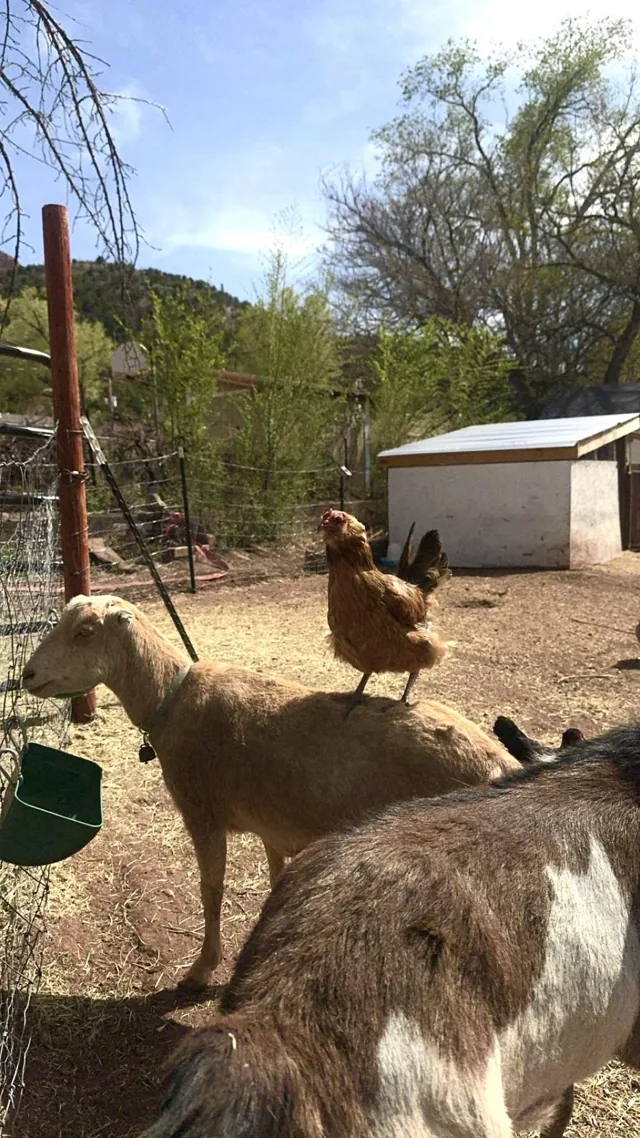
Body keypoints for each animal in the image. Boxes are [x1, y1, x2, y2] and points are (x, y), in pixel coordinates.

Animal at [21, 594, 519, 989]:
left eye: (84, 632)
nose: (27, 675)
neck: (170, 701)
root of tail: (500, 761)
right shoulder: (271, 823)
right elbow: (276, 876)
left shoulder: (203, 814)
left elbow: (211, 889)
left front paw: (201, 970)